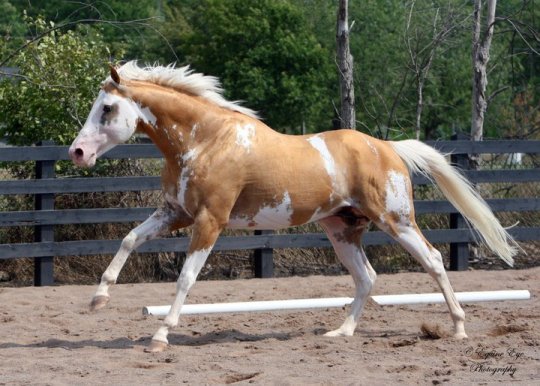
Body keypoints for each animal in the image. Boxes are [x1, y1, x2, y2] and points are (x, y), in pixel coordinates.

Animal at [69, 62, 516, 352]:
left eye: (107, 108)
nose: (77, 152)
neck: (206, 140)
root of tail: (387, 147)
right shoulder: (174, 213)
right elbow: (129, 239)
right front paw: (97, 299)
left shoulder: (209, 221)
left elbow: (185, 279)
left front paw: (161, 335)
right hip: (342, 230)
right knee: (367, 277)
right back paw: (341, 333)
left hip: (396, 221)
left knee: (434, 260)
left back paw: (458, 329)